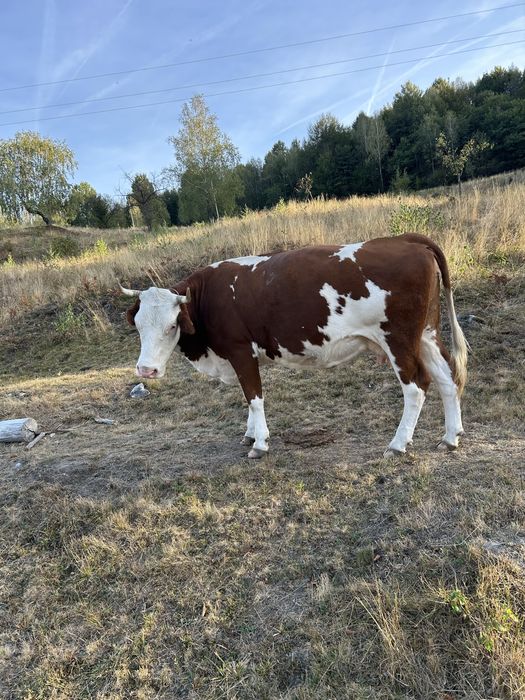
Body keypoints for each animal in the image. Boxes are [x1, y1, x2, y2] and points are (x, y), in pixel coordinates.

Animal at [120, 233, 468, 459]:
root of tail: (406, 241)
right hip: (426, 335)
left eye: (172, 326)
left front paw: (260, 443)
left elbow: (253, 397)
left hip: (399, 340)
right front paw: (250, 434)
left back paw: (398, 444)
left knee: (416, 387)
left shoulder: (240, 350)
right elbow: (248, 398)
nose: (146, 370)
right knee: (447, 378)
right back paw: (450, 438)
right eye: (138, 325)